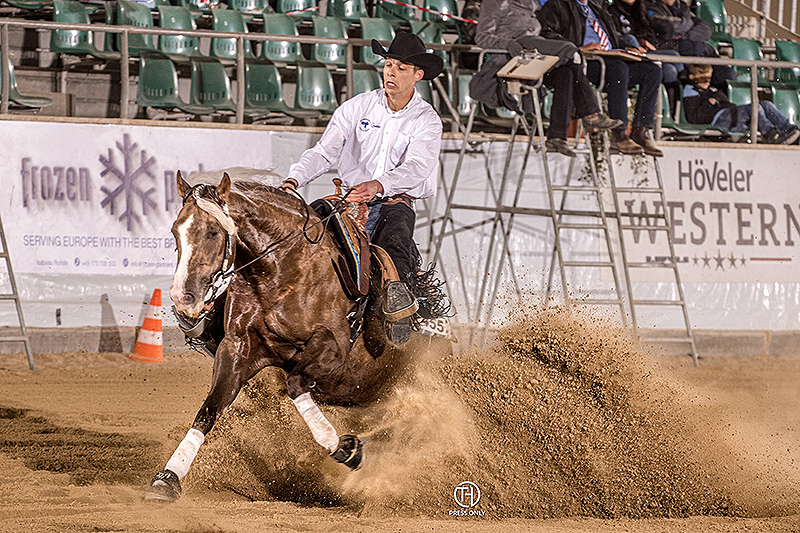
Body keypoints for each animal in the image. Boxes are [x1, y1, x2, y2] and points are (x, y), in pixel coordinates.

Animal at [145, 171, 422, 502]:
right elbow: (208, 411)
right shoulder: (237, 348)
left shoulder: (334, 347)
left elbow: (296, 383)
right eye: (176, 231)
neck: (281, 271)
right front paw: (168, 478)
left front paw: (346, 448)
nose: (181, 297)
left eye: (212, 232)